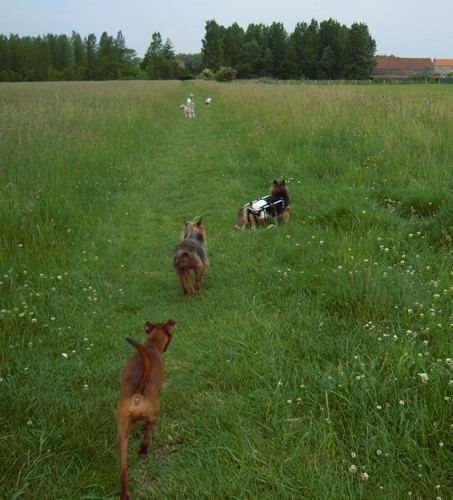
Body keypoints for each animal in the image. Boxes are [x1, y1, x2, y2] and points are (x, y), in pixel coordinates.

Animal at [115, 320, 175, 500]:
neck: (152, 343)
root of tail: (137, 392)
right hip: (153, 416)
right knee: (146, 437)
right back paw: (142, 452)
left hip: (122, 431)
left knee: (123, 473)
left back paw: (124, 494)